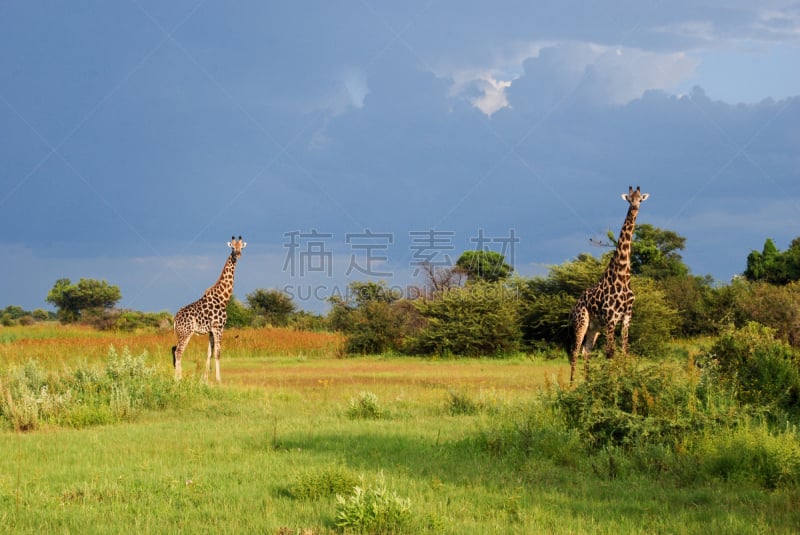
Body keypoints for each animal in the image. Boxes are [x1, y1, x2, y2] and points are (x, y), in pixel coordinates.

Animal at [170, 237, 242, 384]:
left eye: (241, 247)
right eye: (232, 247)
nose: (237, 255)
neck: (223, 298)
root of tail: (175, 319)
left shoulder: (210, 331)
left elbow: (209, 353)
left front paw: (205, 379)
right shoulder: (218, 328)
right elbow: (218, 353)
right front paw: (219, 379)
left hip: (180, 333)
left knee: (175, 349)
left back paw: (177, 377)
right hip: (186, 333)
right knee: (179, 351)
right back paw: (179, 379)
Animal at [568, 186, 648, 384]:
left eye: (640, 199)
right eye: (629, 199)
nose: (635, 208)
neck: (622, 276)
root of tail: (574, 306)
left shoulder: (626, 317)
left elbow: (624, 351)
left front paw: (625, 379)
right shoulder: (611, 318)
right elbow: (610, 353)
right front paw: (613, 383)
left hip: (595, 326)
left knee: (586, 350)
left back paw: (587, 383)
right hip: (581, 321)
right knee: (575, 350)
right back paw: (571, 385)